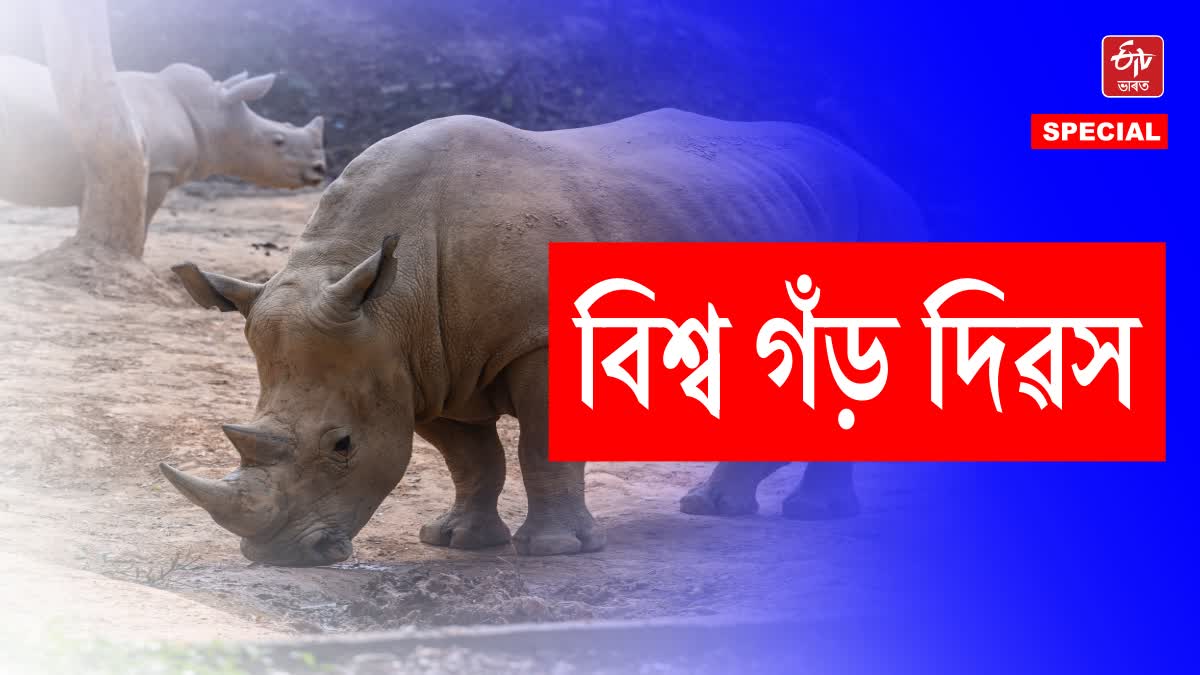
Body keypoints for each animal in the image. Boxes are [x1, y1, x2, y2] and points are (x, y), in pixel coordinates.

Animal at [162, 109, 921, 566]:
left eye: (343, 446)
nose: (279, 557)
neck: (391, 300)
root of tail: (872, 166)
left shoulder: (537, 340)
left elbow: (541, 447)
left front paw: (554, 551)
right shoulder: (423, 365)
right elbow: (472, 458)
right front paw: (457, 541)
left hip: (874, 219)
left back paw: (811, 515)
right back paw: (714, 508)